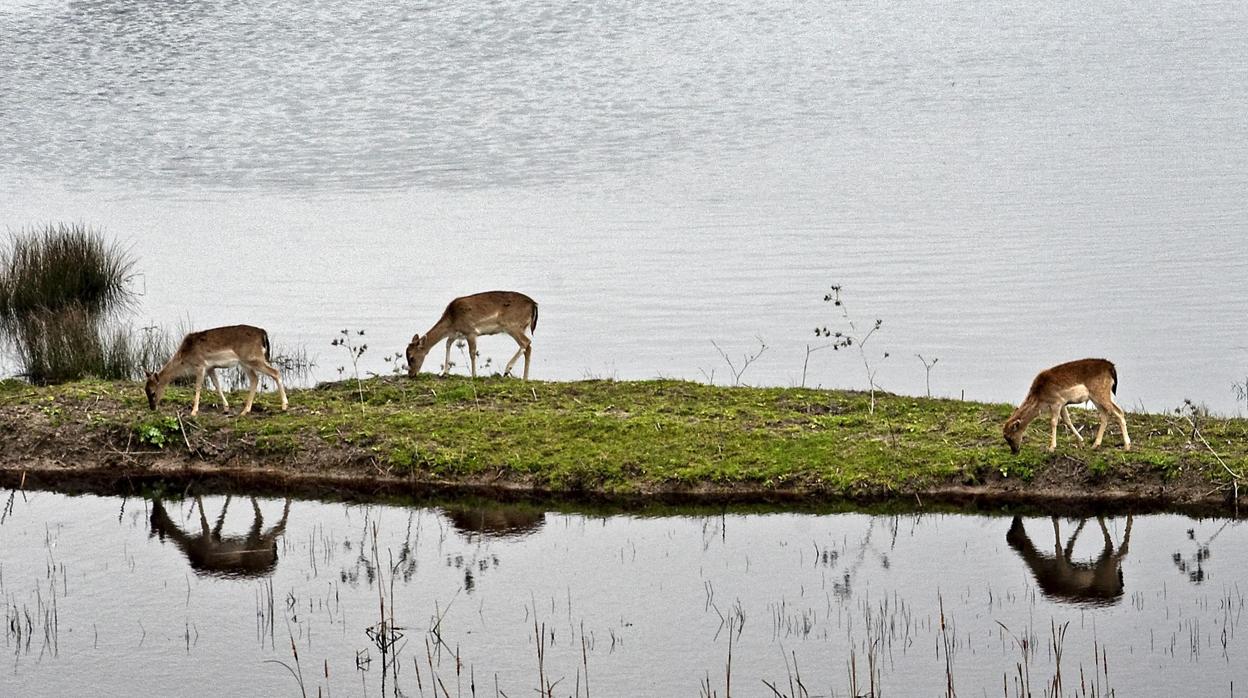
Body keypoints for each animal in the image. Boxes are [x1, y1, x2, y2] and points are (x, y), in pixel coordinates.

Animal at [144, 327, 287, 417]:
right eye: (145, 390)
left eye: (153, 392)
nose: (152, 407)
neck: (185, 359)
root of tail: (263, 334)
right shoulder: (210, 368)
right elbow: (217, 385)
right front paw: (226, 408)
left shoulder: (200, 365)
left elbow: (198, 387)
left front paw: (194, 411)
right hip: (245, 362)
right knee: (255, 379)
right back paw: (245, 411)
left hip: (253, 358)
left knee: (275, 372)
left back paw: (284, 406)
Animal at [406, 290, 539, 382]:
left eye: (412, 357)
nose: (411, 375)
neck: (452, 321)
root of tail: (534, 305)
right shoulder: (456, 334)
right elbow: (448, 344)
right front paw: (444, 372)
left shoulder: (470, 331)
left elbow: (472, 352)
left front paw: (474, 375)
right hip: (521, 328)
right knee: (528, 347)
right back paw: (525, 378)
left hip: (513, 326)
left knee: (526, 343)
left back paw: (507, 371)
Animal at [1003, 359, 1133, 454]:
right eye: (1005, 437)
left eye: (1009, 437)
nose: (1014, 451)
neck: (1040, 399)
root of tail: (1111, 367)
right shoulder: (1063, 403)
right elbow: (1067, 420)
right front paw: (1081, 442)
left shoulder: (1056, 402)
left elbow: (1054, 422)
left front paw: (1051, 447)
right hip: (1096, 397)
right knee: (1105, 415)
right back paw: (1095, 445)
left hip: (1101, 393)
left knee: (1119, 412)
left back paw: (1127, 446)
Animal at [1003, 516, 1133, 609]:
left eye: (1013, 532)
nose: (1016, 519)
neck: (1043, 568)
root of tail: (1118, 592)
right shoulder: (1067, 559)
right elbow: (1069, 546)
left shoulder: (1062, 566)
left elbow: (1058, 542)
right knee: (1113, 547)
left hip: (1106, 567)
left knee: (1118, 548)